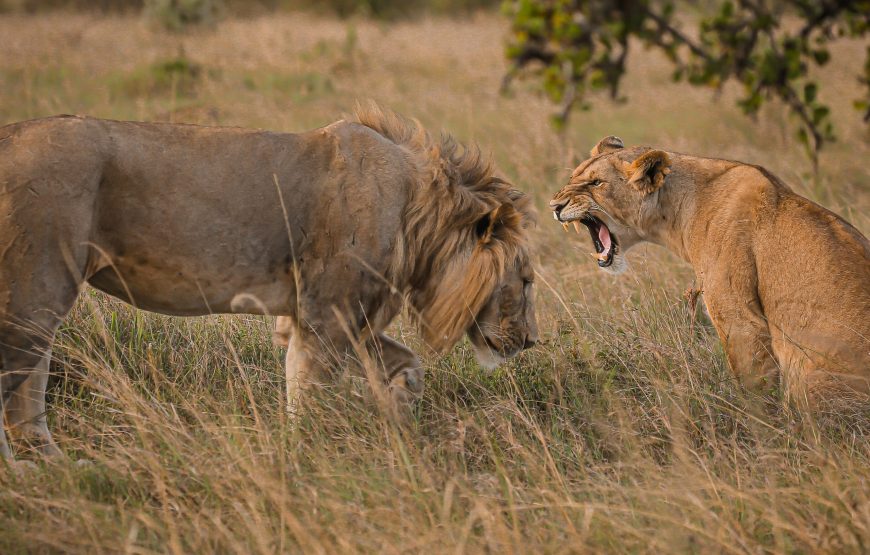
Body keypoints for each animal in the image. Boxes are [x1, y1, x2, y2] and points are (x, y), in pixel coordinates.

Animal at [0, 106, 540, 462]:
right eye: (527, 280)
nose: (533, 341)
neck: (417, 213)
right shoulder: (326, 316)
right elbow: (308, 393)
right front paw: (307, 456)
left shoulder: (339, 317)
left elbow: (407, 365)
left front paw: (401, 422)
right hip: (36, 286)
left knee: (30, 384)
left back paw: (50, 462)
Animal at [552, 137, 870, 406]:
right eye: (572, 178)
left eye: (596, 182)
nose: (554, 206)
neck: (678, 210)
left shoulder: (740, 319)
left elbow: (754, 387)